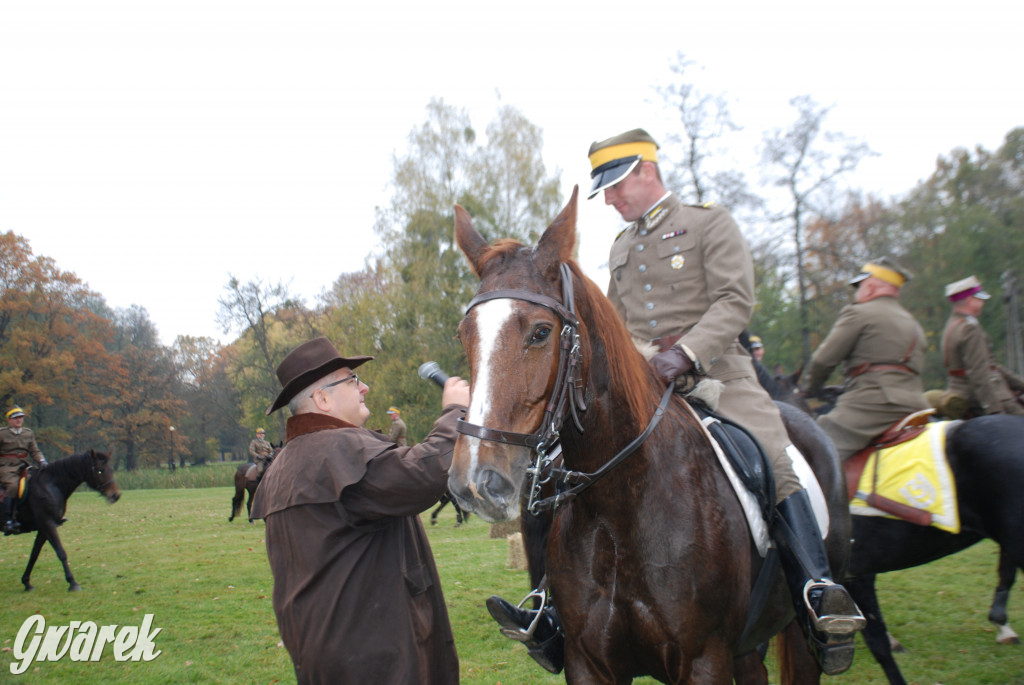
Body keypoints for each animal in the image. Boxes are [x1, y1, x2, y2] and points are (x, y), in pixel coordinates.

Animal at [1, 450, 119, 589]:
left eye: (111, 469)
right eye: (100, 470)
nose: (116, 495)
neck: (51, 485)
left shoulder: (43, 529)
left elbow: (34, 554)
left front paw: (27, 582)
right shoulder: (48, 525)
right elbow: (61, 552)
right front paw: (72, 582)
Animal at [448, 184, 856, 679]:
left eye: (541, 332)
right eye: (464, 334)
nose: (474, 482)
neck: (621, 507)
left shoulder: (704, 660)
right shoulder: (587, 662)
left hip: (797, 632)